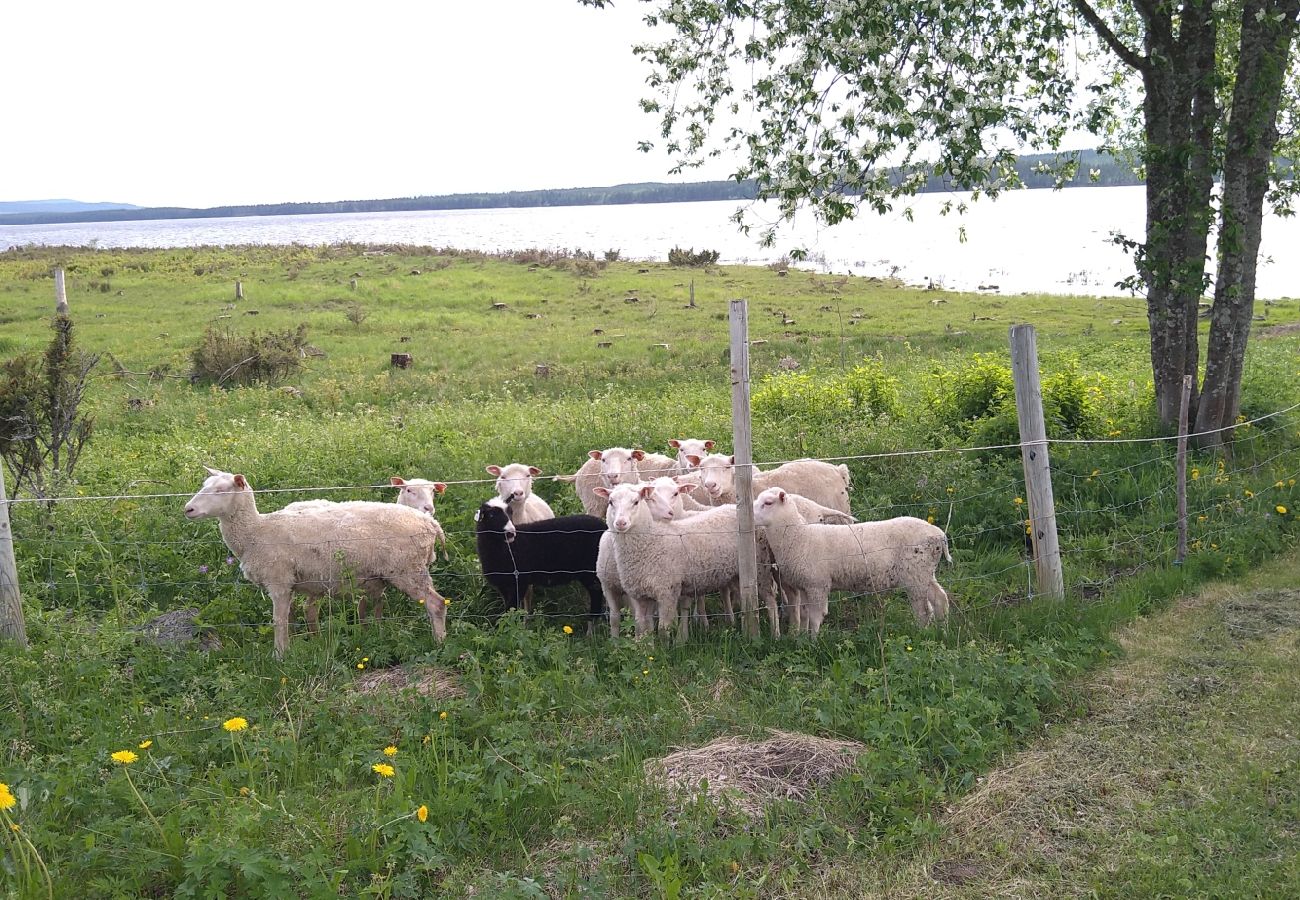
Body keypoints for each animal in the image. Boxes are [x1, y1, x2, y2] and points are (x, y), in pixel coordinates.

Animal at [183, 468, 447, 658]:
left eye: (220, 490)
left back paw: (440, 643)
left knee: (437, 604)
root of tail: (431, 524)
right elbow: (288, 619)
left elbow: (278, 621)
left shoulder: (279, 581)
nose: (188, 509)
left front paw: (280, 656)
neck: (257, 532)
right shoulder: (289, 584)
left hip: (408, 570)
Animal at [473, 496, 608, 621]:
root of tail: (605, 526)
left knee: (598, 595)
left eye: (510, 512)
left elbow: (512, 609)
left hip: (593, 571)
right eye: (491, 515)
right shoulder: (503, 585)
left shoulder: (520, 582)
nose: (511, 533)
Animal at [748, 489, 951, 637]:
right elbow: (804, 614)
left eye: (768, 503)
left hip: (915, 575)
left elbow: (815, 617)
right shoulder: (805, 585)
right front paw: (802, 640)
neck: (799, 536)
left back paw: (922, 635)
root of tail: (938, 534)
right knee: (940, 599)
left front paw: (814, 642)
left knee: (923, 610)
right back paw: (942, 630)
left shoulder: (817, 585)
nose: (748, 515)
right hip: (924, 573)